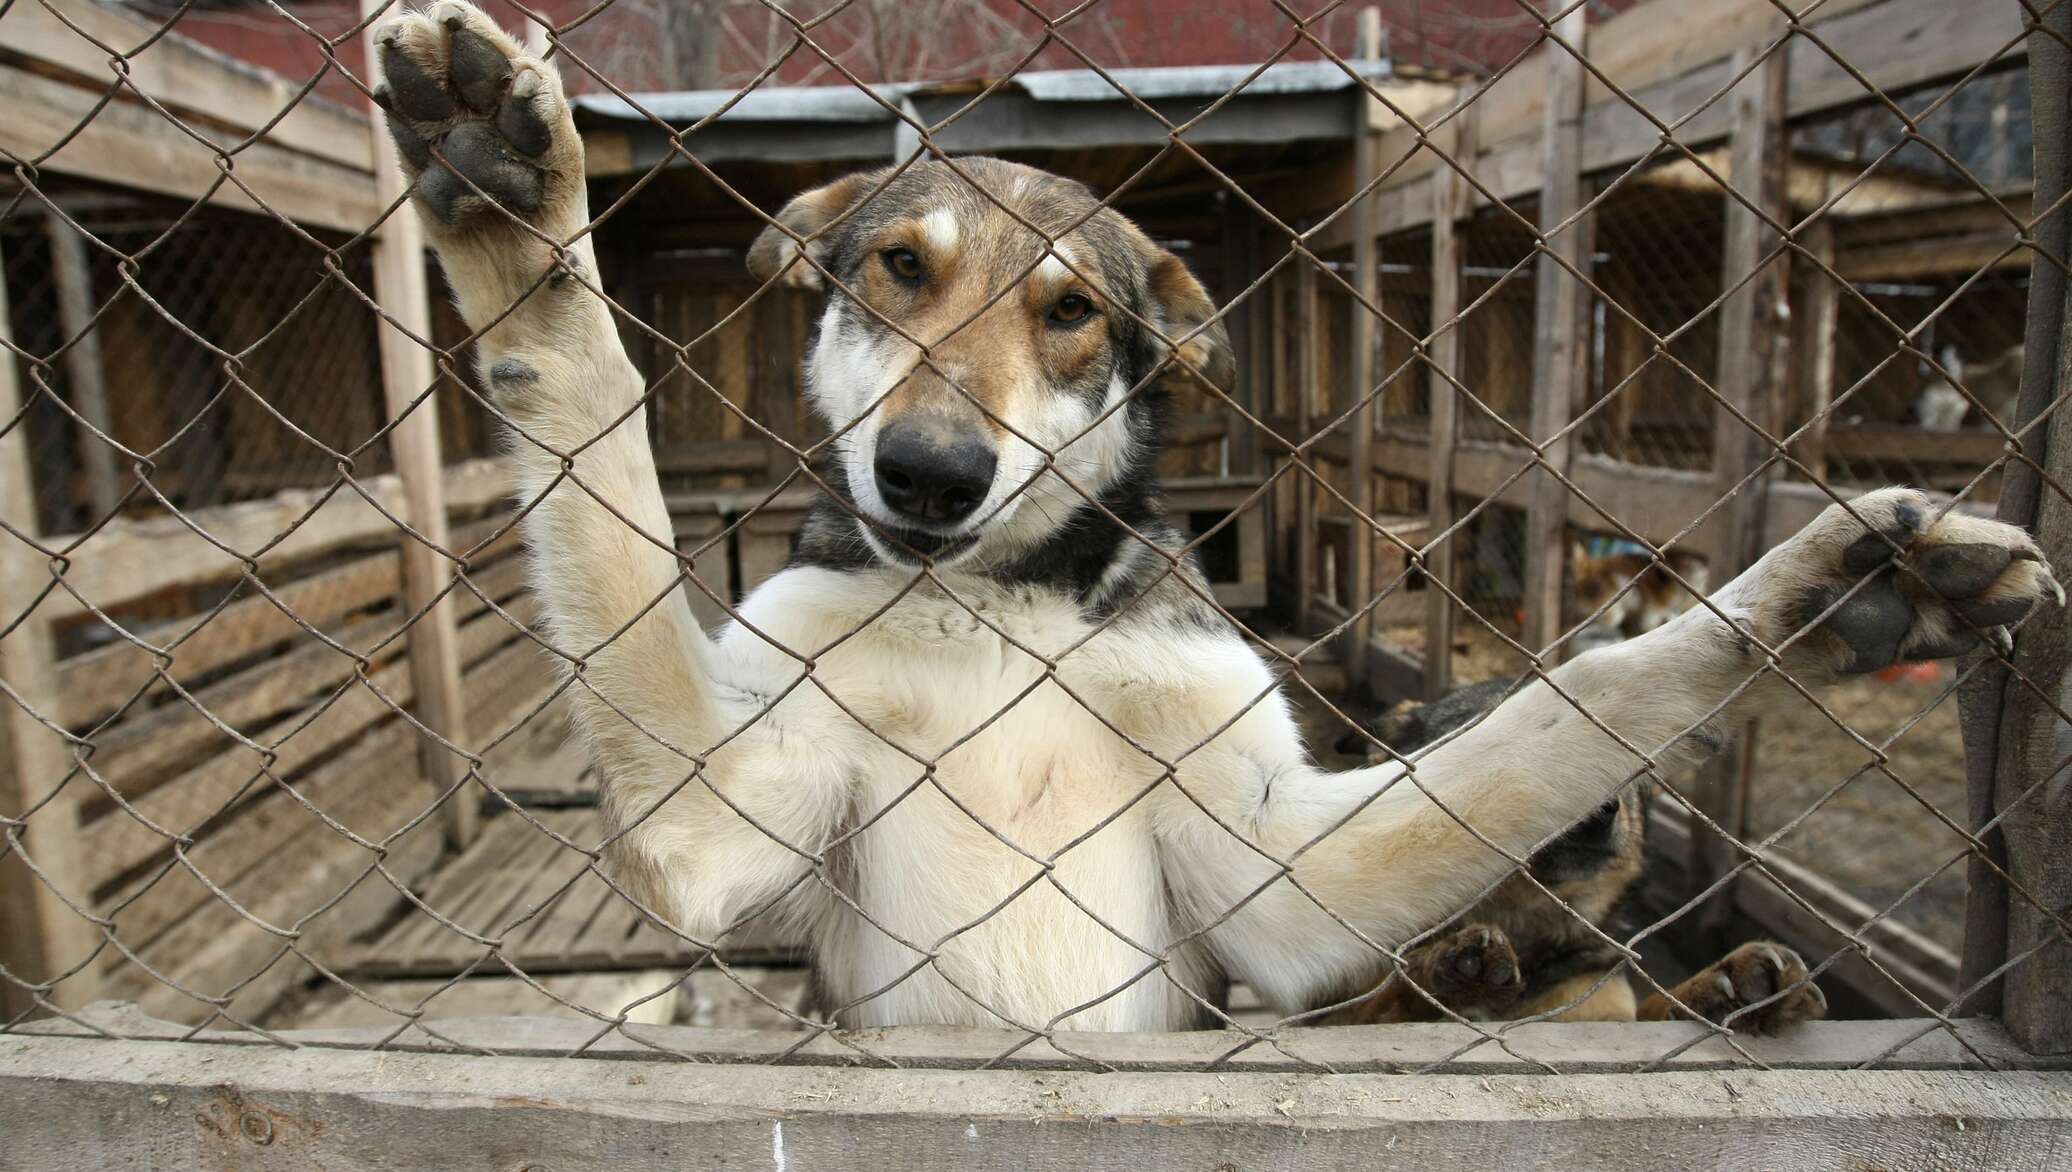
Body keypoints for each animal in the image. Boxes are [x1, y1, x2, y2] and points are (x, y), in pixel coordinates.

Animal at [368, 4, 2055, 1039]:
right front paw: (514, 217)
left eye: (1068, 311)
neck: (1003, 612)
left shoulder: (1288, 874)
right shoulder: (707, 816)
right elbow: (599, 443)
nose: (926, 475)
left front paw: (1838, 593)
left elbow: (1587, 696)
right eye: (900, 269)